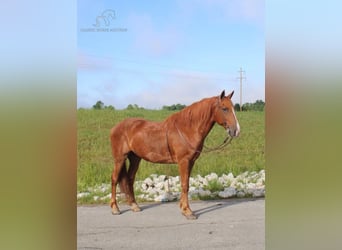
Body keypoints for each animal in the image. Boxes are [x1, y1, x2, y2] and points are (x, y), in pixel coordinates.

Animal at [110, 90, 240, 219]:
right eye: (224, 108)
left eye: (233, 108)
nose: (236, 131)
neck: (187, 129)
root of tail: (116, 127)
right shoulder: (183, 161)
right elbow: (184, 185)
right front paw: (187, 211)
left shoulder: (191, 162)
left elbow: (186, 184)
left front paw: (183, 208)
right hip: (120, 158)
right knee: (114, 179)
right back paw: (115, 208)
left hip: (135, 158)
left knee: (129, 179)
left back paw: (134, 206)